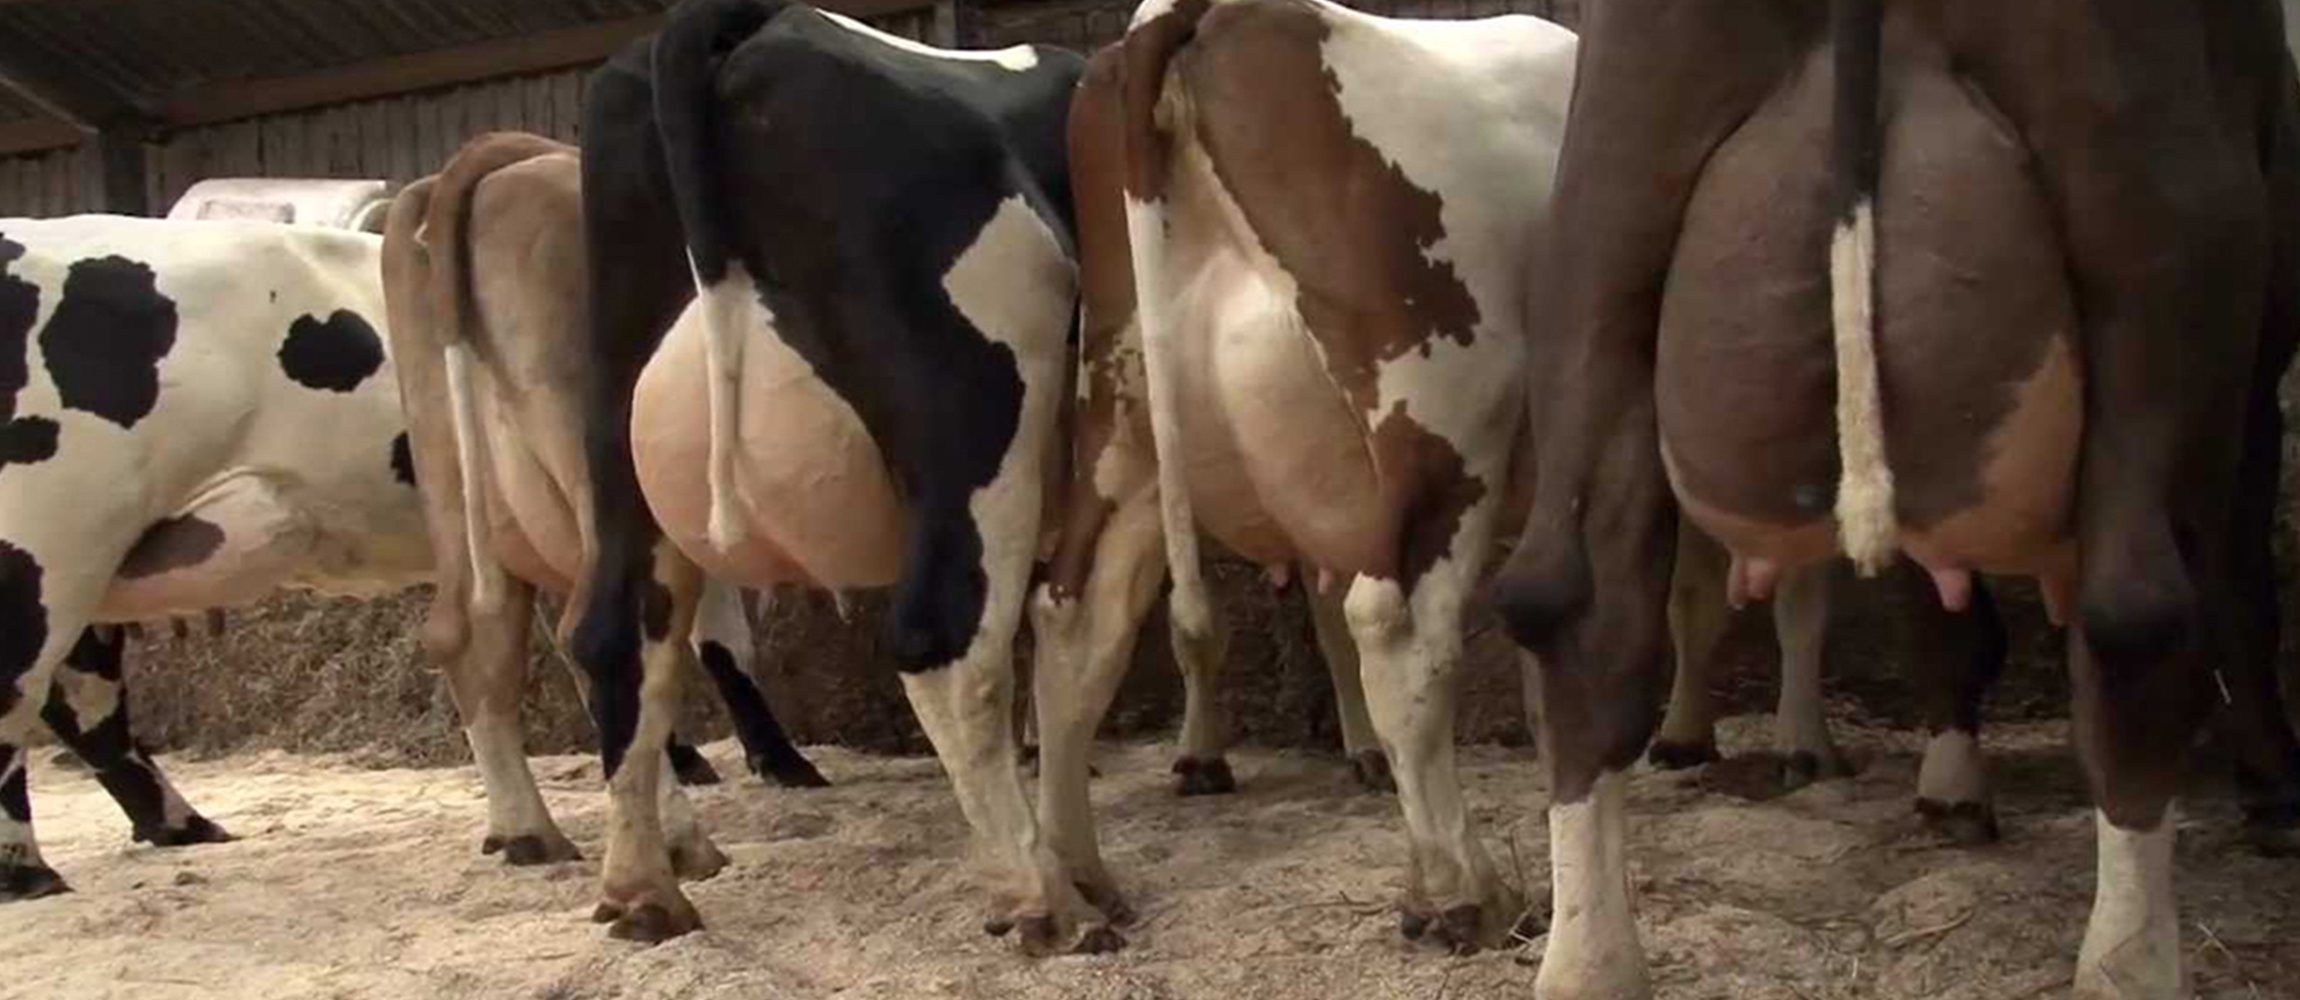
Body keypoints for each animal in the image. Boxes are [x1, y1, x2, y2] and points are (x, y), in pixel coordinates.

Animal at [380, 133, 834, 867]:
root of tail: (493, 166)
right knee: (599, 634)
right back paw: (675, 839)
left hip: (455, 482)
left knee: (467, 633)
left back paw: (526, 830)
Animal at [566, 0, 1093, 947]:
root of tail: (742, 27)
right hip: (977, 414)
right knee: (945, 636)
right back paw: (1041, 899)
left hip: (615, 440)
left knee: (616, 639)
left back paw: (643, 891)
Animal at [1035, 0, 1577, 955]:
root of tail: (1196, 17)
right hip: (1445, 420)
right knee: (1395, 633)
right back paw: (1461, 895)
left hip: (1126, 436)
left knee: (1075, 623)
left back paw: (1077, 888)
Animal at [1491, 2, 2300, 997]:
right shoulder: (2258, 381)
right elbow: (2242, 590)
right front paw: (2274, 790)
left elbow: (1937, 600)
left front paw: (1951, 783)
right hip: (2168, 259)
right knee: (2138, 618)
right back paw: (2131, 964)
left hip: (1602, 228)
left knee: (1572, 606)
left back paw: (1589, 962)